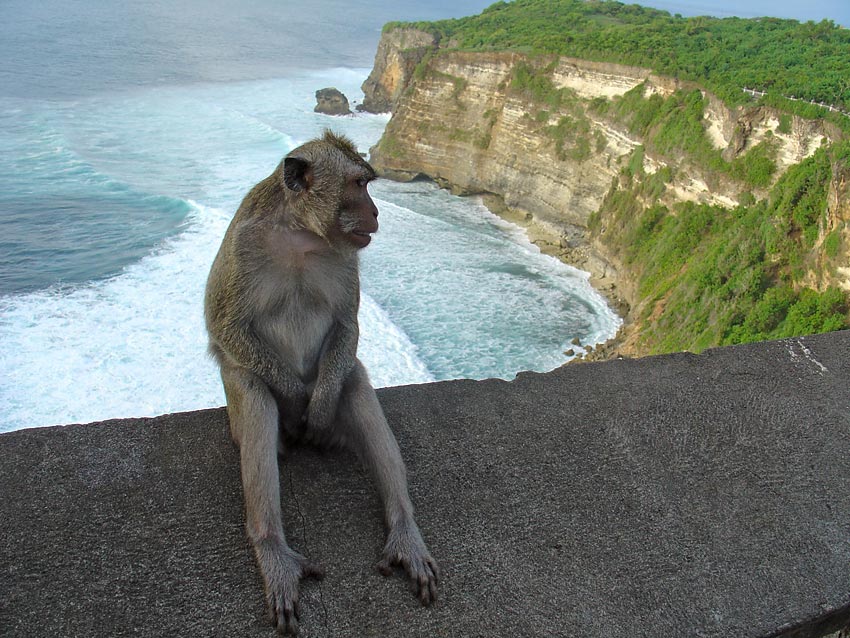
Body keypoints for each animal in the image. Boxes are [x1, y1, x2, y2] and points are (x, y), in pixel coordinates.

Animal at [204, 130, 438, 636]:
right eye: (358, 184)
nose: (376, 212)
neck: (301, 236)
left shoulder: (347, 258)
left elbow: (347, 326)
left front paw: (319, 406)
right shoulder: (242, 245)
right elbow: (225, 325)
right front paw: (294, 401)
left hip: (338, 402)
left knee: (355, 382)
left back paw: (404, 531)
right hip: (238, 406)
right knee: (253, 396)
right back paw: (273, 551)